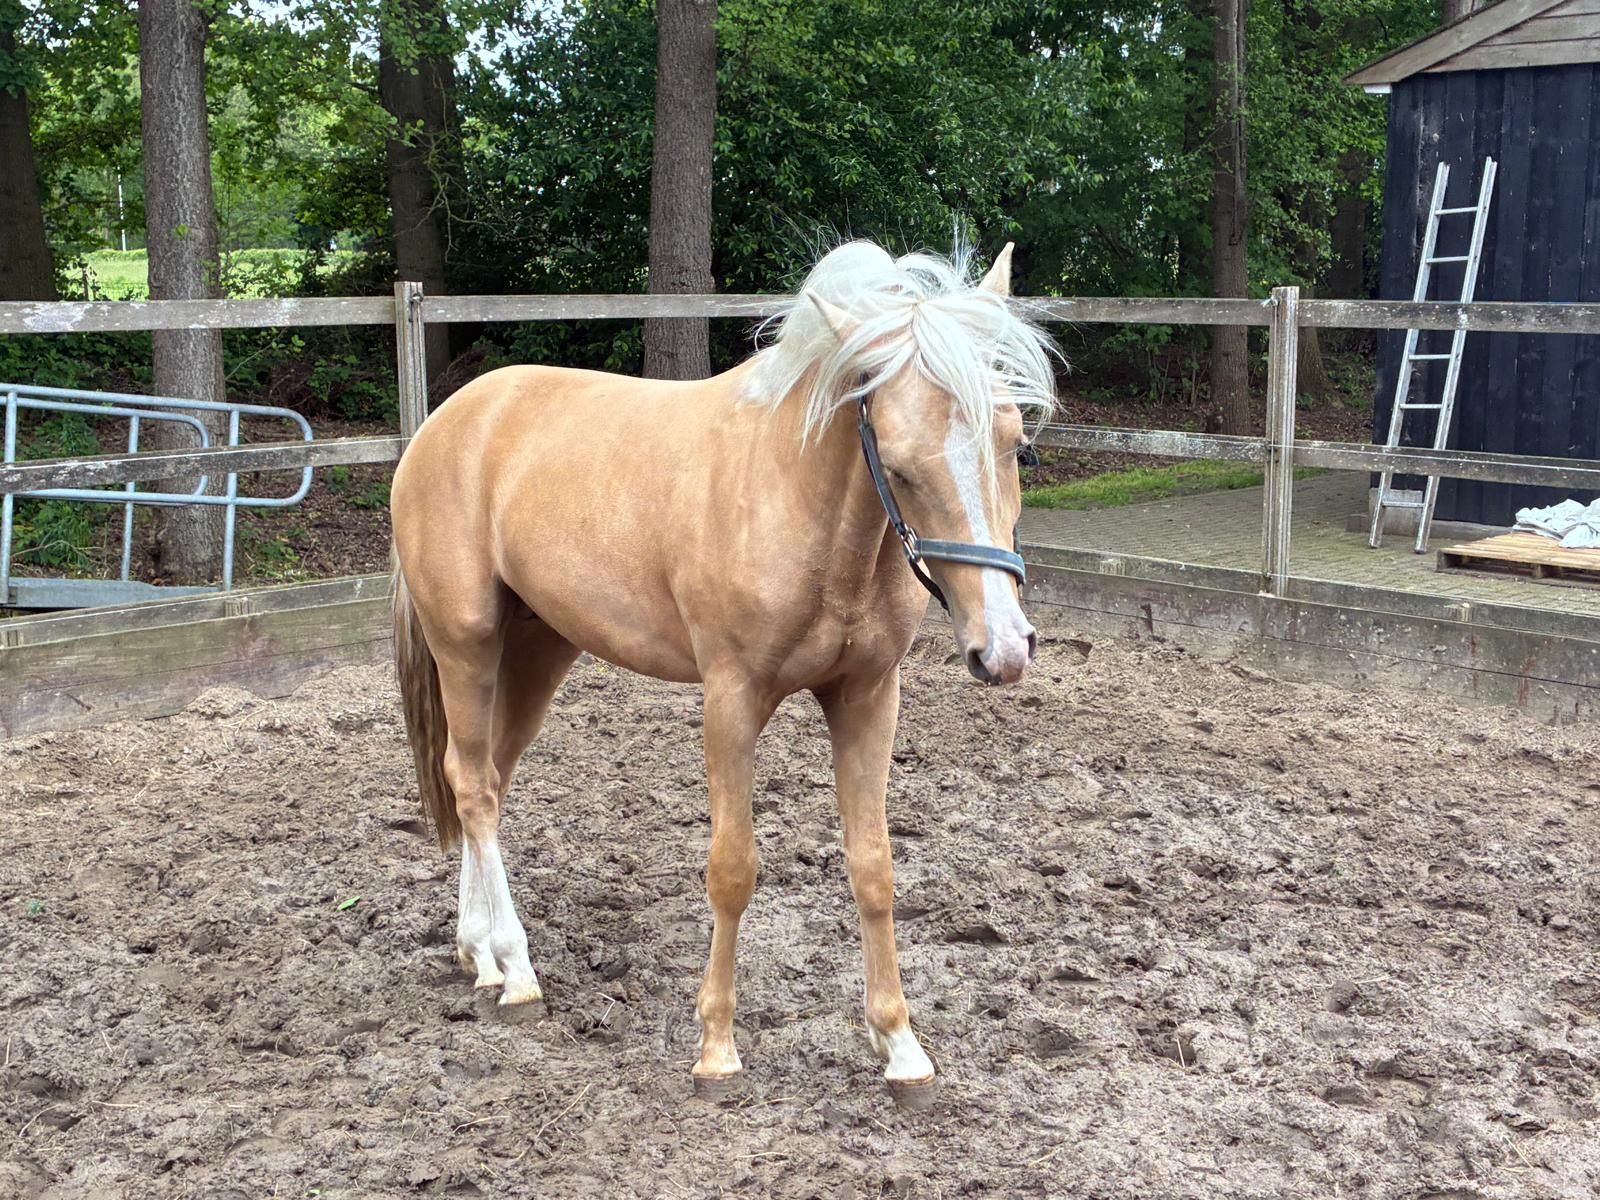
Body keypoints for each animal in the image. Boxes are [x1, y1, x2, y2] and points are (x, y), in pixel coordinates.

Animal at [389, 239, 1057, 1105]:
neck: (801, 504)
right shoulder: (731, 699)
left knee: (489, 782)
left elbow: (873, 866)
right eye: (902, 466)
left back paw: (479, 955)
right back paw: (516, 969)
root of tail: (446, 421)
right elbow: (733, 869)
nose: (1003, 649)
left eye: (1014, 444)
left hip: (540, 650)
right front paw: (716, 1047)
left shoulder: (868, 696)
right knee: (470, 786)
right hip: (465, 641)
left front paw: (901, 1046)